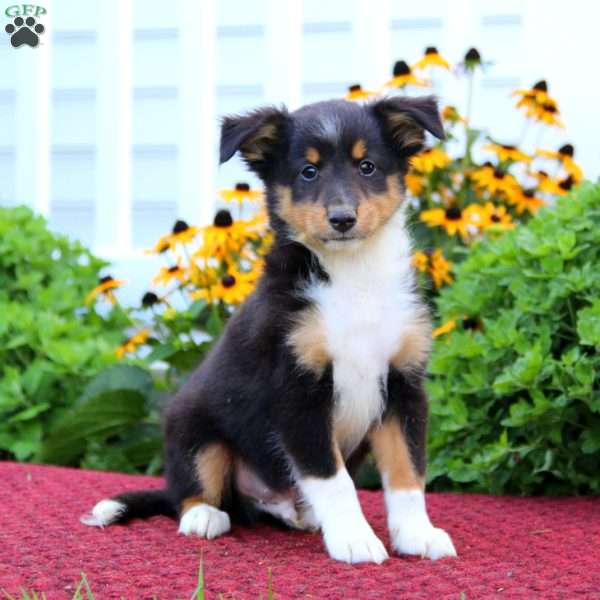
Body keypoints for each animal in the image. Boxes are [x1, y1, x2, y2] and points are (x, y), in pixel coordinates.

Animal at [82, 94, 458, 564]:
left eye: (367, 166)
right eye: (308, 171)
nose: (342, 218)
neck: (354, 276)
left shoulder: (403, 384)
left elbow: (408, 474)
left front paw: (417, 535)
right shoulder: (296, 391)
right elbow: (334, 480)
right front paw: (354, 540)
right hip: (192, 424)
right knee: (190, 490)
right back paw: (203, 517)